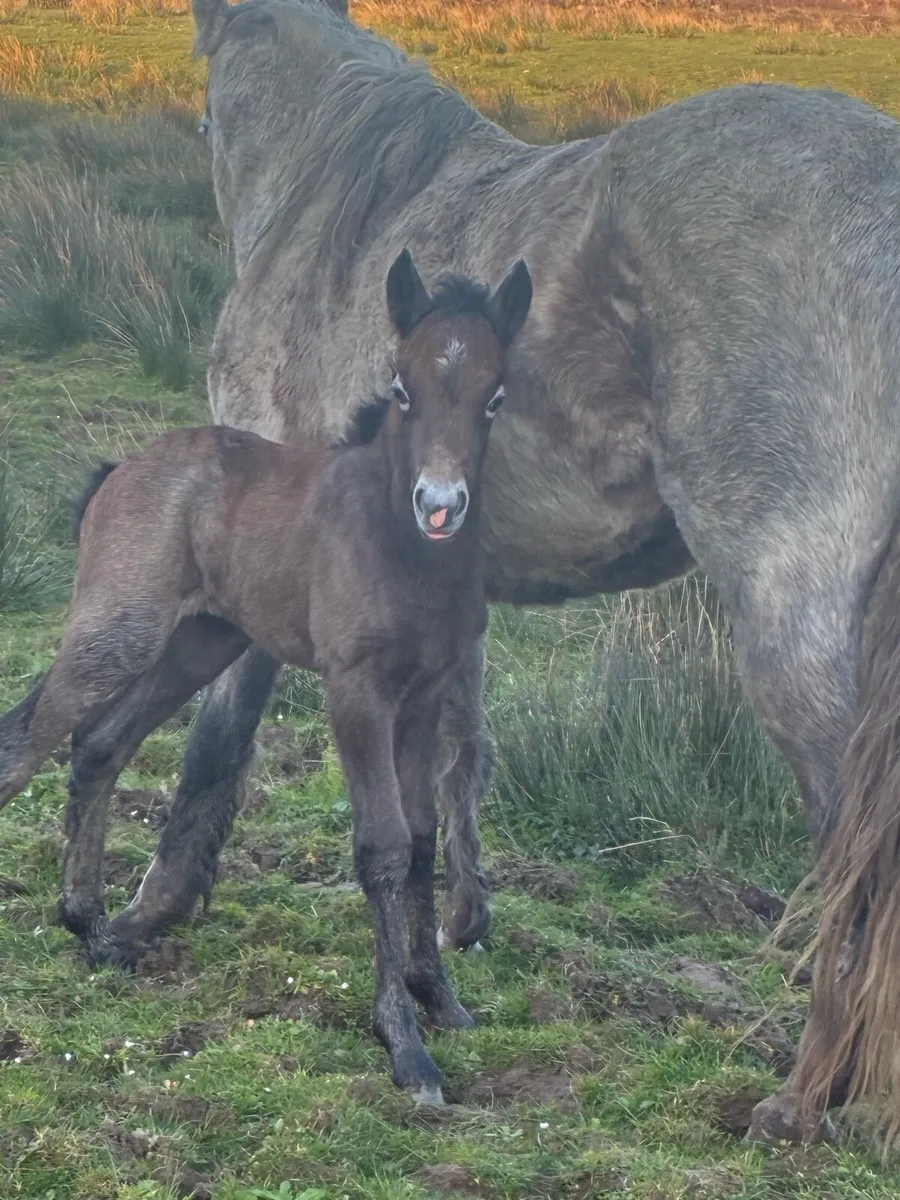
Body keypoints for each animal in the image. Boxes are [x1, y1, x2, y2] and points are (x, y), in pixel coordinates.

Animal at [0, 250, 533, 1101]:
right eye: (402, 388)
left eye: (495, 396)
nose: (441, 504)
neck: (400, 546)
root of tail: (122, 469)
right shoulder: (357, 691)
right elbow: (382, 846)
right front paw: (404, 1043)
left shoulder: (423, 694)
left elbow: (422, 837)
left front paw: (440, 998)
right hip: (118, 629)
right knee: (25, 741)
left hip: (200, 642)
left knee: (99, 743)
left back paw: (91, 929)